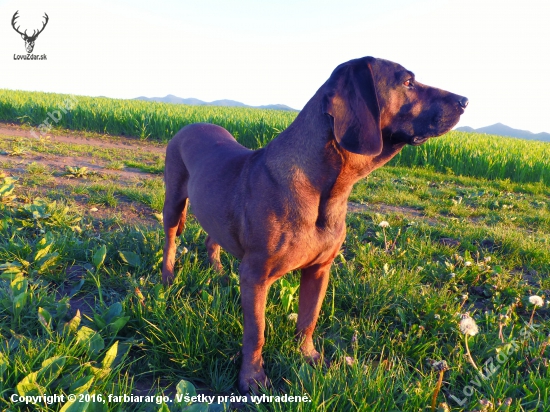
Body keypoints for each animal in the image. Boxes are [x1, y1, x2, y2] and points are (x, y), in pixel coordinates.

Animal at [162, 56, 468, 394]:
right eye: (408, 82)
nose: (465, 101)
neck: (326, 189)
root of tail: (190, 125)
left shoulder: (320, 268)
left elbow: (308, 319)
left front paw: (308, 357)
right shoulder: (256, 276)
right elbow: (257, 332)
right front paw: (252, 378)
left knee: (211, 237)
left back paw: (216, 269)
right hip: (173, 202)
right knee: (171, 240)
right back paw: (167, 277)